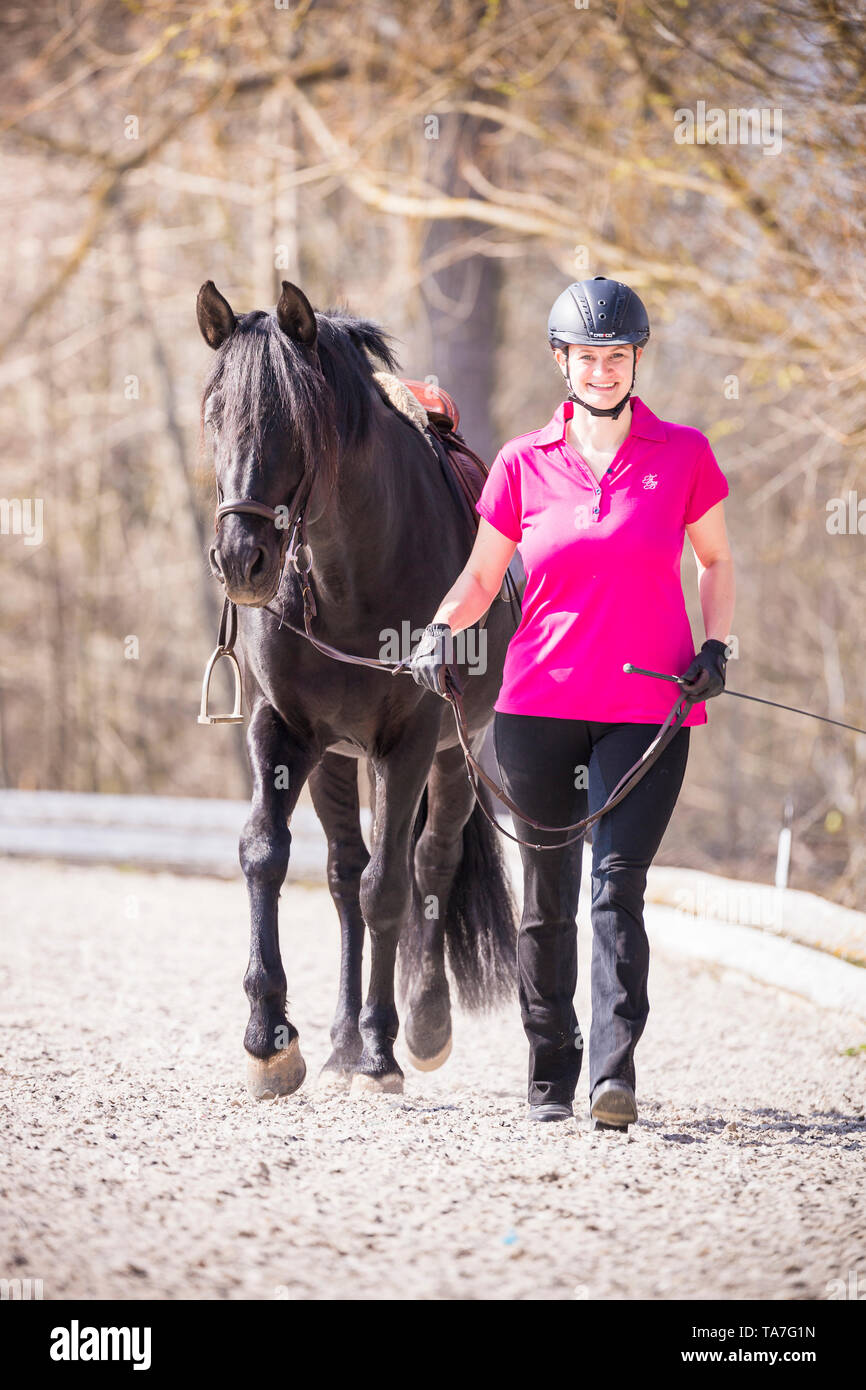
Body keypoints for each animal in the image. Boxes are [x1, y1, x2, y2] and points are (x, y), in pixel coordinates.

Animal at [195, 276, 517, 1089]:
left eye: (298, 423)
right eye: (216, 415)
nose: (241, 559)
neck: (350, 578)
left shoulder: (409, 742)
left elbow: (391, 888)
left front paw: (381, 1050)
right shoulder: (283, 730)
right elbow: (266, 854)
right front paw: (271, 1037)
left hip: (455, 754)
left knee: (429, 864)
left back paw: (418, 1026)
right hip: (337, 761)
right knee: (346, 874)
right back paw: (342, 1038)